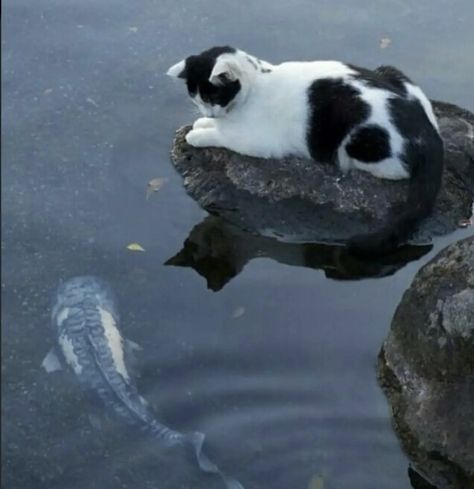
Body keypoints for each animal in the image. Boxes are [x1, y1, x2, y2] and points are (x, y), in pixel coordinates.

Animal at [168, 46, 444, 254]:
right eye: (196, 98)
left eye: (213, 97)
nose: (209, 113)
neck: (258, 84)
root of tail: (428, 134)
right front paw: (203, 123)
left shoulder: (259, 141)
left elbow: (222, 135)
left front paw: (198, 133)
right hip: (391, 70)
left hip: (358, 140)